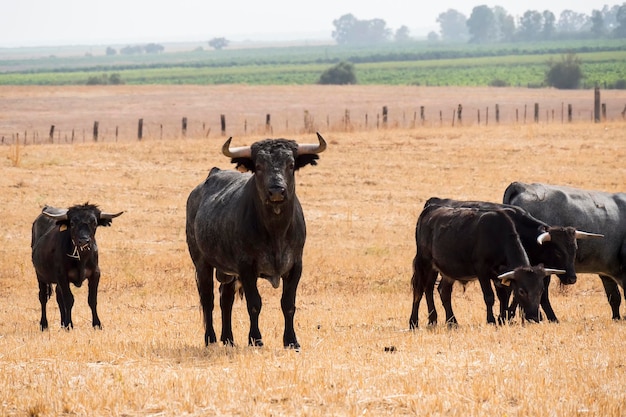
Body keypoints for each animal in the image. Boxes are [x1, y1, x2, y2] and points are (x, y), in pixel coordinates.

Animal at [184, 133, 326, 348]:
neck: (276, 232)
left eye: (291, 164)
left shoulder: (295, 266)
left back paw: (228, 339)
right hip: (202, 262)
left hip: (228, 272)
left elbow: (288, 304)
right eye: (259, 166)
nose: (276, 191)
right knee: (208, 299)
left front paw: (291, 341)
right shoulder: (246, 268)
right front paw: (256, 339)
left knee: (225, 298)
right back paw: (211, 339)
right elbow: (254, 304)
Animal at [408, 202, 564, 328]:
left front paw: (502, 319)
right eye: (521, 291)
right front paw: (491, 320)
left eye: (541, 290)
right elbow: (489, 296)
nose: (534, 317)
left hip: (447, 270)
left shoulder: (499, 276)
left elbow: (503, 297)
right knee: (421, 290)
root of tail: (430, 209)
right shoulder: (482, 271)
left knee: (442, 291)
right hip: (424, 263)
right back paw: (417, 322)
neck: (497, 237)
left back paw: (450, 322)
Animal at [424, 197, 600, 324]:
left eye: (574, 250)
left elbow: (535, 295)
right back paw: (432, 319)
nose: (572, 278)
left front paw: (548, 317)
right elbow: (513, 294)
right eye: (558, 251)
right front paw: (508, 316)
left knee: (442, 290)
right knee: (428, 289)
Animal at [502, 181, 624, 318]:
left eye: (575, 251)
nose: (572, 279)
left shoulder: (606, 274)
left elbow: (614, 297)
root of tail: (521, 186)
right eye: (558, 252)